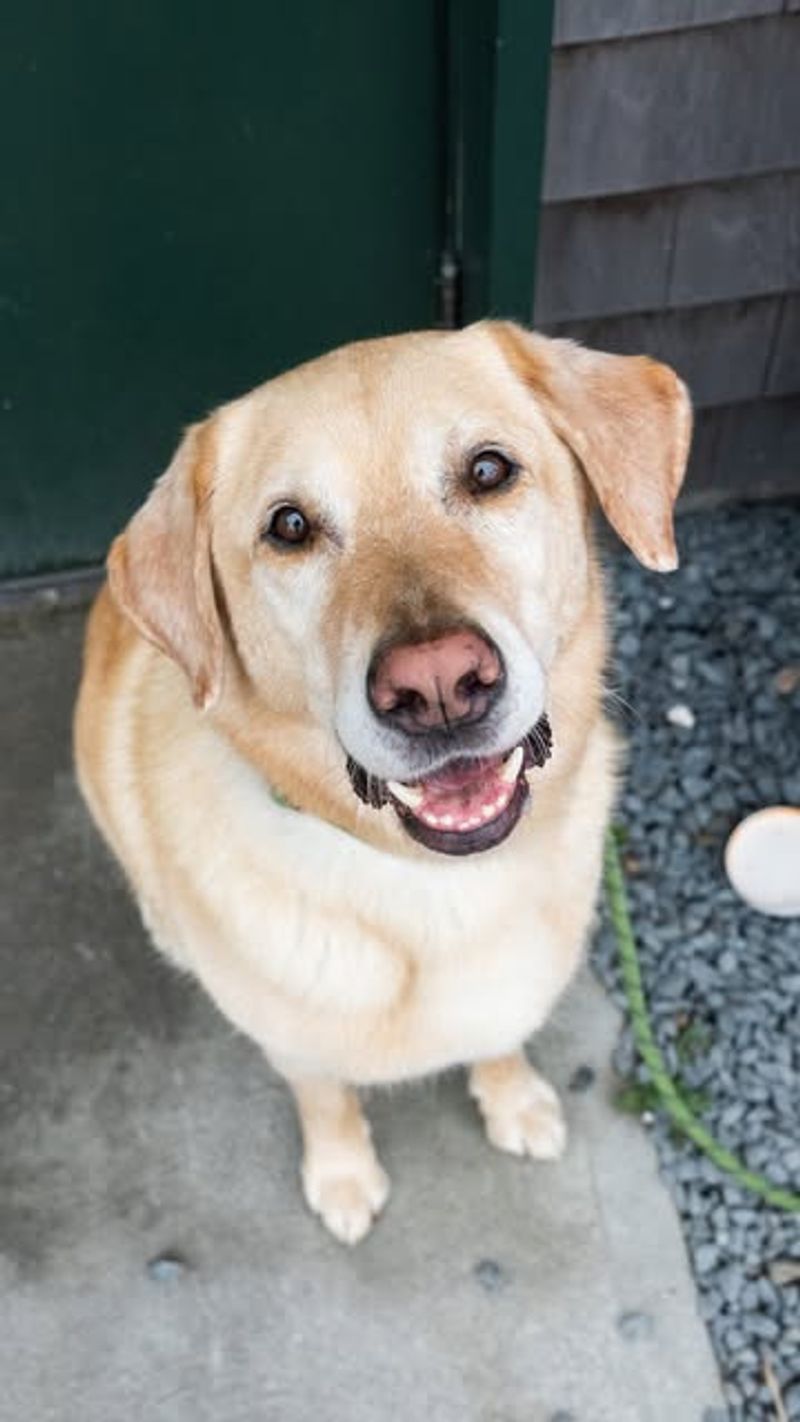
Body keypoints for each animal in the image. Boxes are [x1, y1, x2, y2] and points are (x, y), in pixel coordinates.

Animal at [72, 322, 690, 1245]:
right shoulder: (294, 1045)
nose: (437, 687)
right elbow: (325, 1098)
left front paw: (513, 1102)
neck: (432, 886)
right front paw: (343, 1177)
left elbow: (500, 1039)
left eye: (488, 471)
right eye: (289, 526)